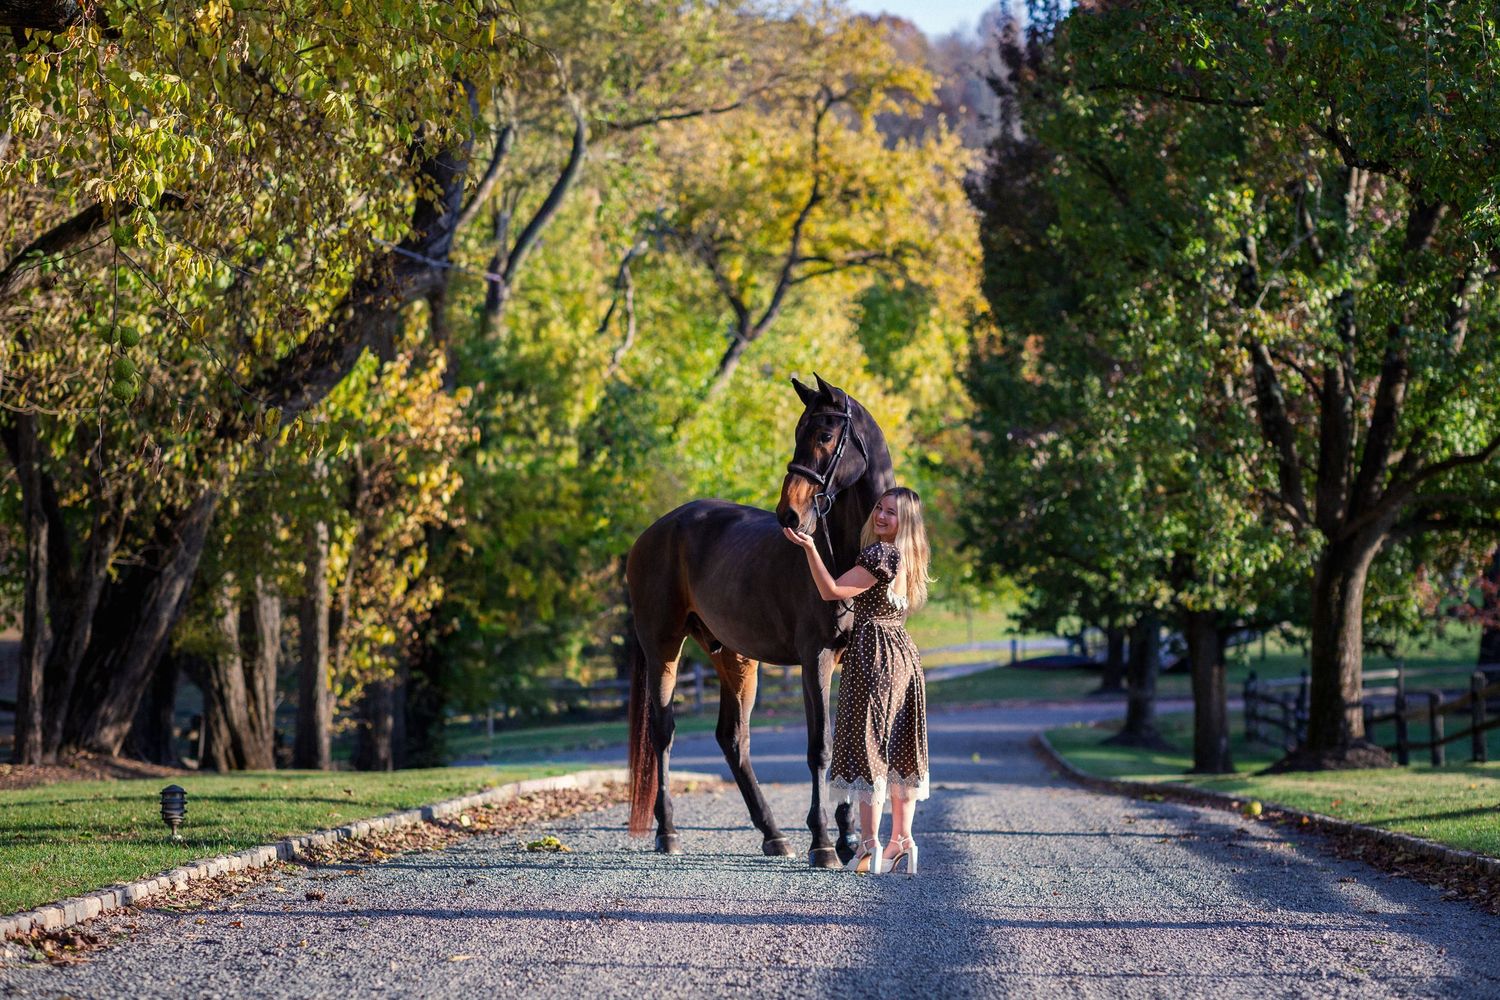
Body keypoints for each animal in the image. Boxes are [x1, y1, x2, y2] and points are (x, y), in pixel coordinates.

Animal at [625, 374, 895, 867]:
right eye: (798, 433)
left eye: (825, 435)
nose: (789, 514)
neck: (847, 555)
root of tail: (652, 533)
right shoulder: (816, 658)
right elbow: (821, 747)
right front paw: (824, 842)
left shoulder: (854, 659)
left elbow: (852, 744)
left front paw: (848, 837)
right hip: (663, 648)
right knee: (663, 732)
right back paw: (668, 831)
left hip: (734, 658)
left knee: (733, 739)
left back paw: (773, 833)